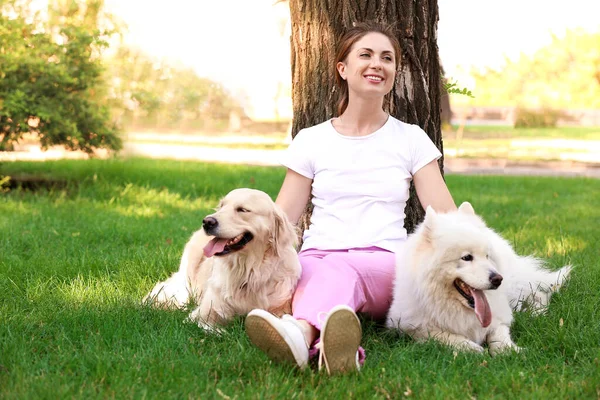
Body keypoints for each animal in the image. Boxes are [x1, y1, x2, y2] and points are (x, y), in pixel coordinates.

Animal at [144, 189, 302, 330]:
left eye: (242, 210)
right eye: (221, 206)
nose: (207, 222)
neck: (247, 271)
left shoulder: (279, 308)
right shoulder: (202, 313)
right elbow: (208, 326)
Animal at [386, 202, 568, 354]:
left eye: (487, 256)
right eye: (467, 257)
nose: (497, 279)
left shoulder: (499, 316)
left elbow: (499, 335)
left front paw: (509, 351)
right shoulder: (408, 325)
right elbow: (444, 335)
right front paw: (472, 349)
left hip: (513, 288)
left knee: (539, 293)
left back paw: (538, 312)